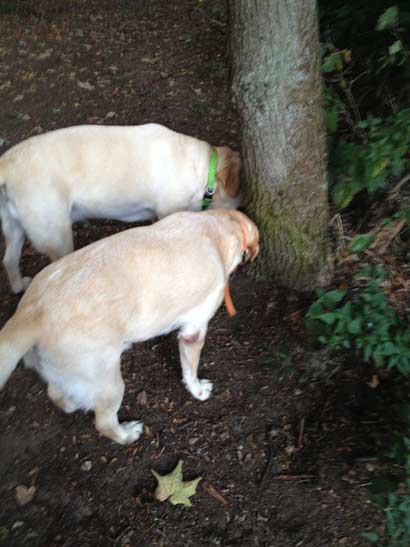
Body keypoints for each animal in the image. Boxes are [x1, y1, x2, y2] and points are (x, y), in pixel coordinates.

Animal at [0, 123, 241, 293]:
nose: (244, 205)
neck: (203, 171)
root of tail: (7, 166)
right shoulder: (168, 213)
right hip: (58, 235)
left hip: (16, 230)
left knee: (8, 260)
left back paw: (19, 286)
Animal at [0, 209, 259, 444]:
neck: (215, 226)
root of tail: (31, 311)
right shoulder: (193, 331)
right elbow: (190, 371)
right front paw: (197, 391)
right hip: (110, 385)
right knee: (103, 422)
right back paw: (126, 434)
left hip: (65, 372)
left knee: (55, 393)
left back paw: (73, 403)